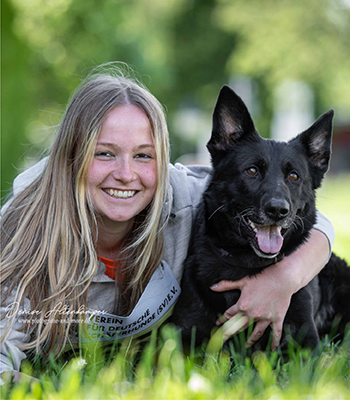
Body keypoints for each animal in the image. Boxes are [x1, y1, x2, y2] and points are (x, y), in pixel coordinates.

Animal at [172, 85, 350, 350]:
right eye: (252, 171)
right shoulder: (178, 340)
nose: (277, 210)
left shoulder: (305, 344)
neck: (246, 266)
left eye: (294, 176)